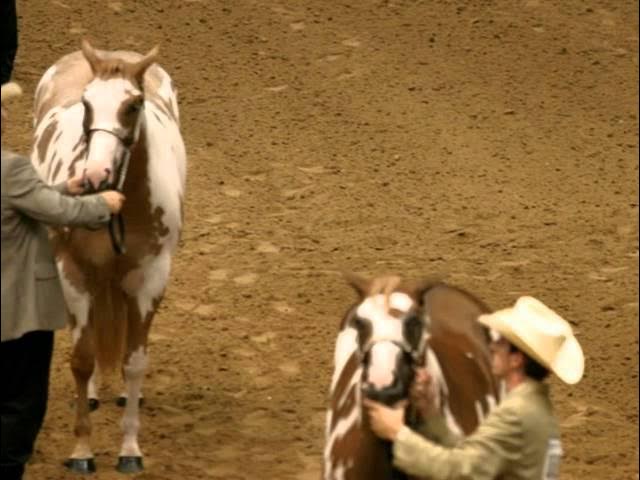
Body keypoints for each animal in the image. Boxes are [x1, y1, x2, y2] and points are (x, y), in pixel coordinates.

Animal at [30, 40, 186, 474]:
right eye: (86, 103)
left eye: (133, 105)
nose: (96, 174)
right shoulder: (74, 273)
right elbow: (82, 359)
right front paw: (82, 450)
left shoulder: (150, 279)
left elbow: (134, 362)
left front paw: (130, 448)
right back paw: (93, 392)